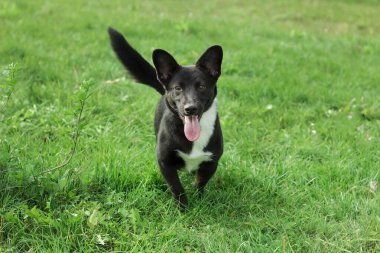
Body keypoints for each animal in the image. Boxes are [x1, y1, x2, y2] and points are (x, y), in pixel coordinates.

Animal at [107, 27, 223, 208]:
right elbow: (176, 187)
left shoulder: (211, 161)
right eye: (178, 88)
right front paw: (183, 208)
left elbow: (200, 183)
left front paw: (199, 199)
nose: (190, 109)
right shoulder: (164, 162)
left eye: (202, 86)